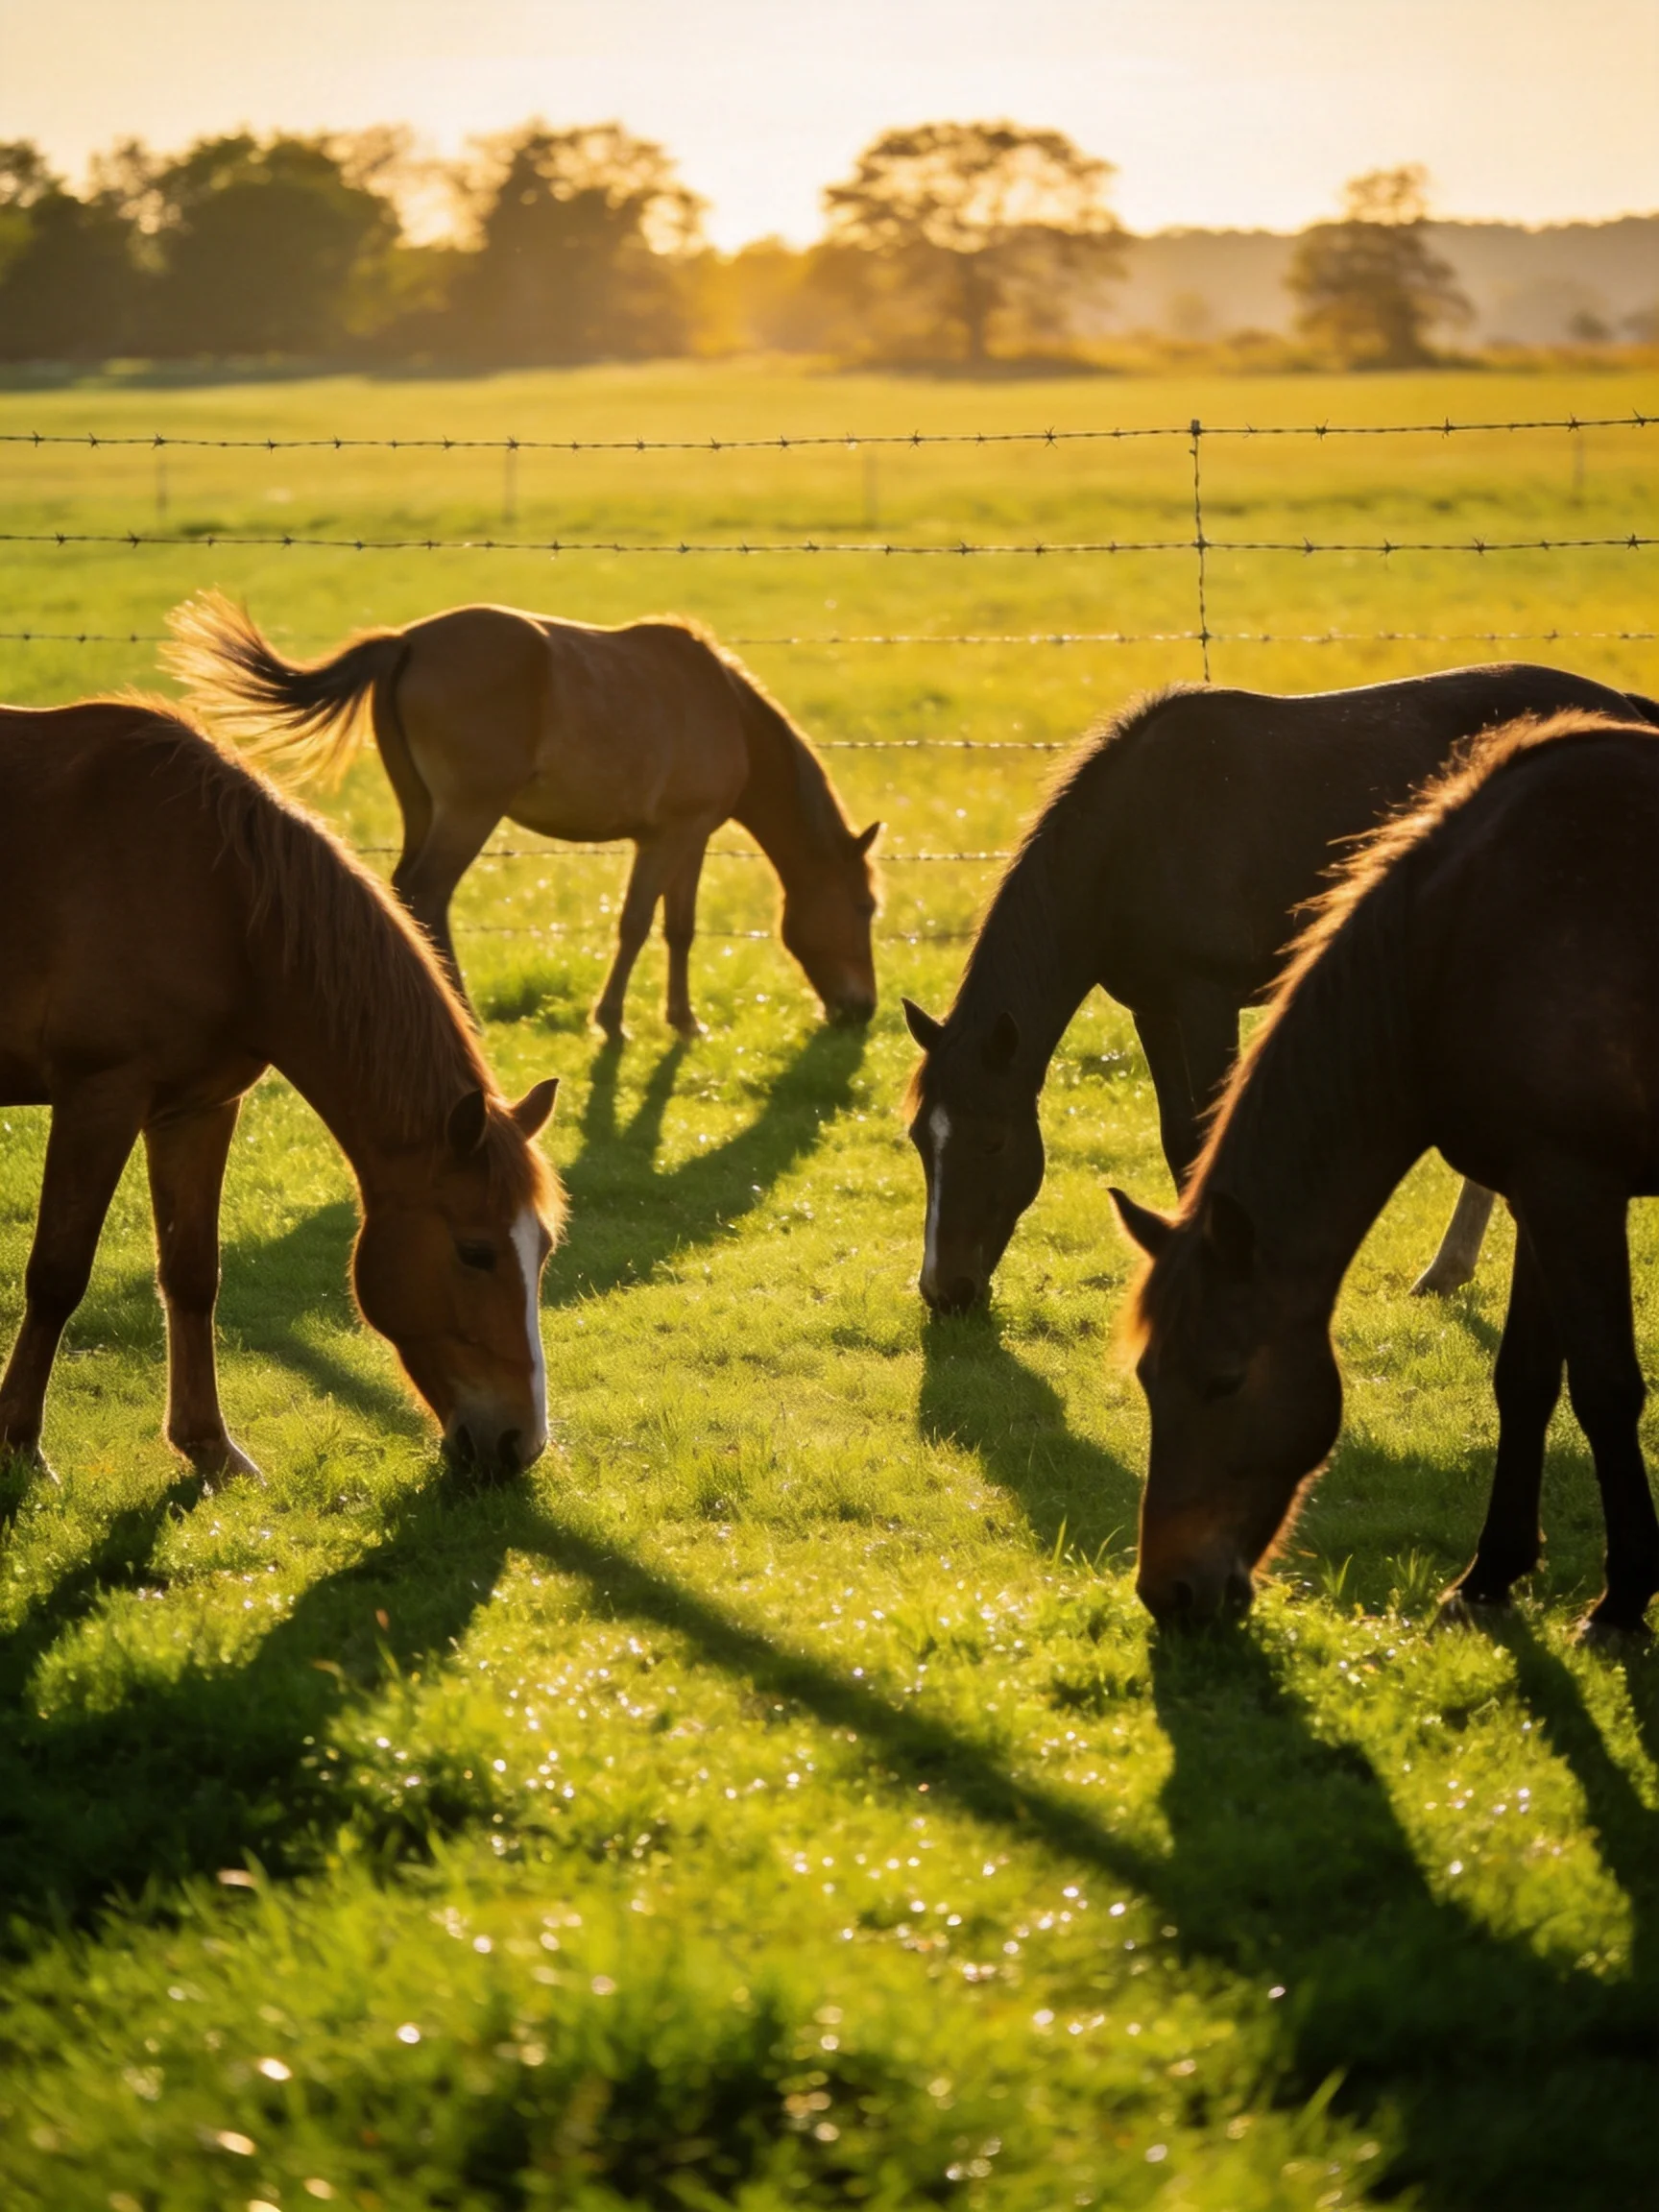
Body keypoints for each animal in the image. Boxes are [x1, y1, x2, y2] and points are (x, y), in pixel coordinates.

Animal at [0, 697, 562, 1482]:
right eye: (476, 1252)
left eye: (543, 1250)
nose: (521, 1444)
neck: (218, 900)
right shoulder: (98, 1098)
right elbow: (57, 1272)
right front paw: (20, 1443)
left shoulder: (197, 1109)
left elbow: (192, 1274)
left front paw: (209, 1447)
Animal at [165, 594, 882, 1038]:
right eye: (865, 907)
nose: (862, 1008)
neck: (724, 708)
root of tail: (406, 644)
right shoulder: (673, 834)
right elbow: (637, 923)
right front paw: (613, 1020)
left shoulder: (687, 837)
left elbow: (678, 927)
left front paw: (681, 1019)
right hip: (469, 811)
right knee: (427, 891)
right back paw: (467, 1016)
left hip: (423, 806)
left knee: (405, 893)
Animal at [901, 664, 1659, 1314]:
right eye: (917, 1140)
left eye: (993, 1142)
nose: (944, 1291)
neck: (1138, 833)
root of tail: (1626, 708)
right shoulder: (1154, 1009)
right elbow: (1177, 1137)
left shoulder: (1206, 1000)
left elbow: (1205, 1133)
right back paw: (1449, 1271)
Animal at [1111, 709, 1659, 1638]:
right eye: (1150, 1379)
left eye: (1224, 1380)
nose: (1169, 1592)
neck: (1463, 940)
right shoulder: (1542, 1189)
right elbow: (1524, 1378)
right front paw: (1490, 1573)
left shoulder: (1577, 1193)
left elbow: (1606, 1389)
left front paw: (1622, 1601)